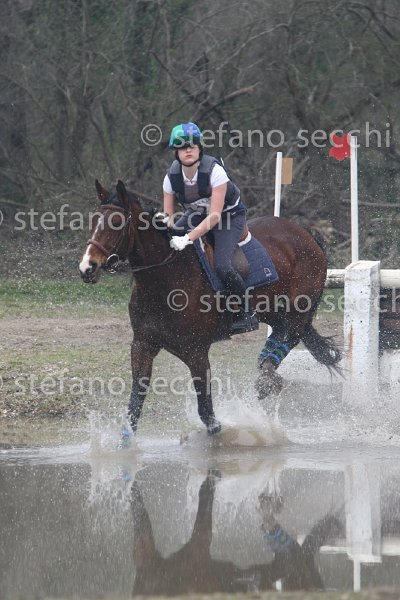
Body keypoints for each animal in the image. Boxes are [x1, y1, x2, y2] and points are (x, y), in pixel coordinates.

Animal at [78, 180, 341, 435]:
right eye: (93, 221)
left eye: (116, 223)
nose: (87, 268)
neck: (165, 278)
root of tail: (308, 235)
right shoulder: (142, 345)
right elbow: (134, 409)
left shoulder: (196, 353)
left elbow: (208, 415)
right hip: (271, 308)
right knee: (283, 331)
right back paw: (266, 373)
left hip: (299, 306)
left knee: (291, 334)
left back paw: (266, 378)